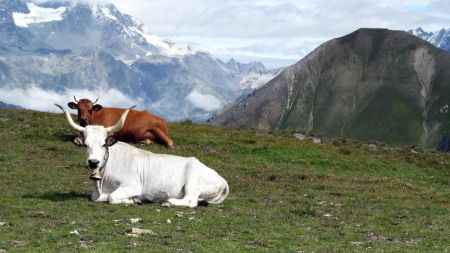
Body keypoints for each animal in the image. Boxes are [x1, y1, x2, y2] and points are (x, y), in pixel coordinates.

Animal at [55, 104, 229, 207]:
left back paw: (168, 202)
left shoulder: (131, 186)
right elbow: (96, 197)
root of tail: (222, 179)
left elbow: (111, 198)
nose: (93, 162)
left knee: (191, 200)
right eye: (85, 145)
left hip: (192, 182)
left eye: (104, 144)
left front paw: (133, 199)